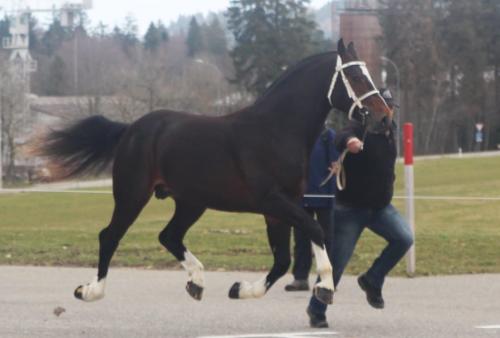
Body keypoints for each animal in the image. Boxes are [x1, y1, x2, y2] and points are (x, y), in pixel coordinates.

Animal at [33, 39, 392, 304]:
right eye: (356, 77)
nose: (384, 117)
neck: (276, 130)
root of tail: (131, 129)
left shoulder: (282, 206)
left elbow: (282, 258)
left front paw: (241, 289)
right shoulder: (273, 201)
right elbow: (313, 232)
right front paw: (325, 288)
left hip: (191, 202)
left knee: (169, 236)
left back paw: (196, 281)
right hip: (132, 194)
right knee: (110, 236)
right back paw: (90, 290)